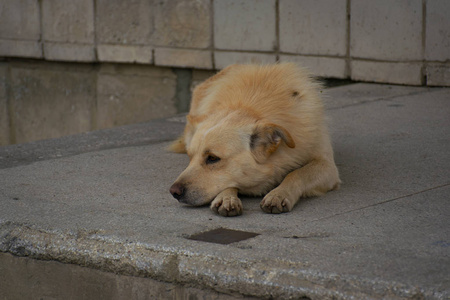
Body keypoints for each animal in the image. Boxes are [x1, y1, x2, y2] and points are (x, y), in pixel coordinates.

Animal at [169, 63, 342, 217]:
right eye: (190, 157)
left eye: (212, 158)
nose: (173, 192)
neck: (251, 108)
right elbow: (230, 182)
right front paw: (226, 197)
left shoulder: (327, 166)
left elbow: (297, 174)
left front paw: (279, 194)